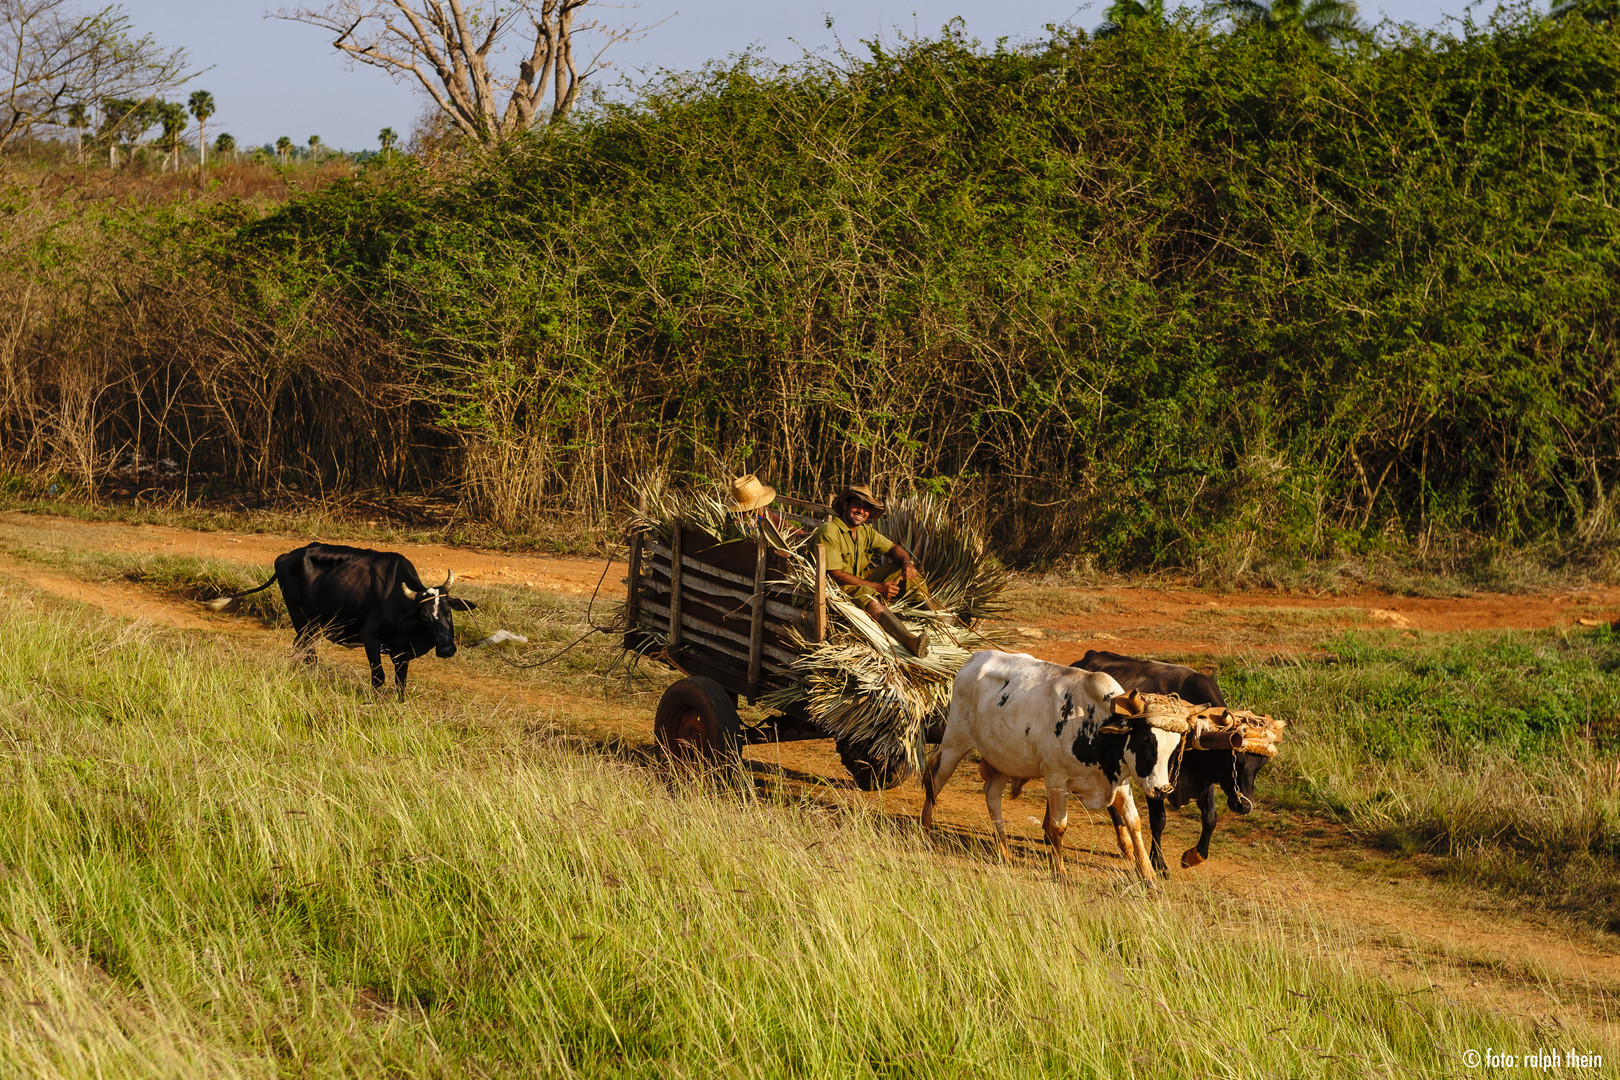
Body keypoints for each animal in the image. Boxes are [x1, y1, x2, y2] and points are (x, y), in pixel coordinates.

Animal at [204, 544, 473, 696]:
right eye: (426, 618)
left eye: (449, 612)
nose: (447, 649)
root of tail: (287, 555)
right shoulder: (370, 638)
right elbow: (378, 678)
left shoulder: (401, 650)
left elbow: (401, 683)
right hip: (303, 620)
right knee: (306, 650)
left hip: (310, 624)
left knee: (303, 650)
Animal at [1069, 650, 1270, 880]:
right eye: (1233, 758)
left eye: (1260, 765)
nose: (1244, 806)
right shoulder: (1154, 781)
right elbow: (1159, 820)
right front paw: (1158, 863)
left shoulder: (1203, 781)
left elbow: (1210, 818)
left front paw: (1192, 856)